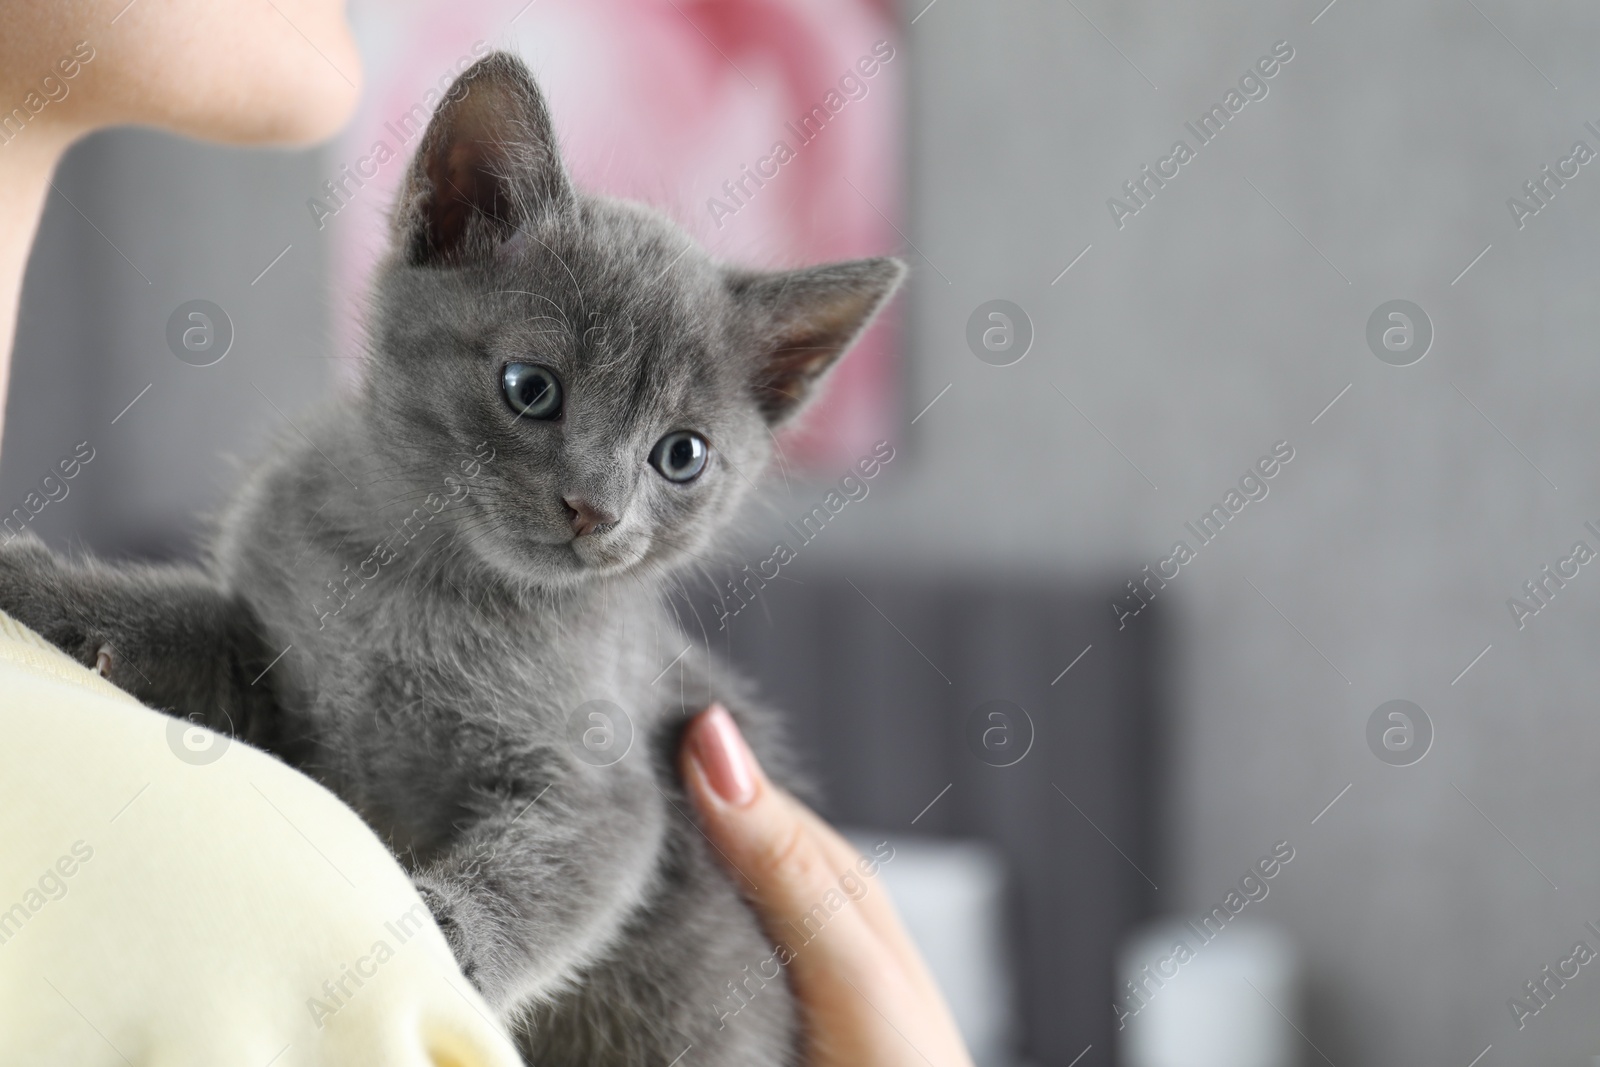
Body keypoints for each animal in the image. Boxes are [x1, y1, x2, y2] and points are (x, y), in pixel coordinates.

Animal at [0, 54, 902, 1062]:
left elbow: (566, 859)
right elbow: (180, 616)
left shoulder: (607, 780)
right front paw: (41, 582)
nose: (596, 507)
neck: (418, 583)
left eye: (682, 454)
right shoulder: (268, 654)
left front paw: (444, 933)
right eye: (530, 387)